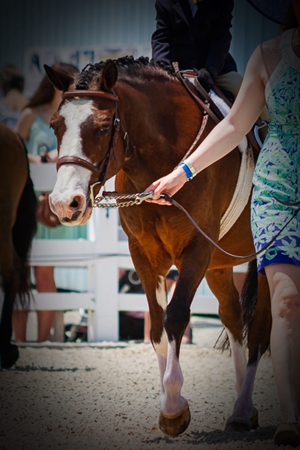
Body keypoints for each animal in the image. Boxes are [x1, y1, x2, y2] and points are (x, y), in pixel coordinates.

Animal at [44, 58, 272, 438]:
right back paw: (245, 407)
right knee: (232, 313)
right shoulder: (144, 254)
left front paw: (174, 407)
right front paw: (169, 403)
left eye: (103, 127)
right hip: (220, 263)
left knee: (259, 328)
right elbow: (156, 327)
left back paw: (242, 409)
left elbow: (176, 316)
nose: (65, 203)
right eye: (55, 125)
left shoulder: (196, 249)